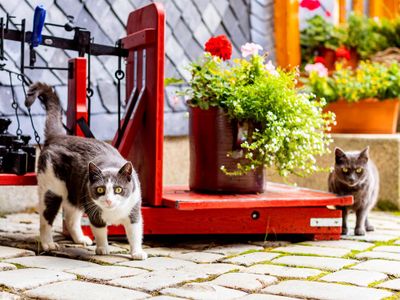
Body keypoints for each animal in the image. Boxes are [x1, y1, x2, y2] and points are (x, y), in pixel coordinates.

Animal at [25, 82, 147, 260]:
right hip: (52, 187)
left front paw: (137, 252)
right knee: (46, 218)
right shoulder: (93, 210)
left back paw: (80, 239)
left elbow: (135, 232)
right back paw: (48, 244)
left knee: (70, 219)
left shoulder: (134, 210)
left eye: (118, 189)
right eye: (100, 189)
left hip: (75, 193)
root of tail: (59, 137)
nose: (108, 200)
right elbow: (100, 231)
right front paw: (103, 249)